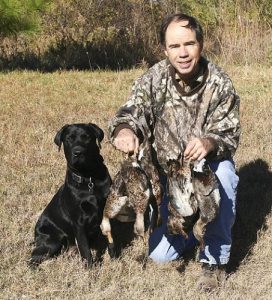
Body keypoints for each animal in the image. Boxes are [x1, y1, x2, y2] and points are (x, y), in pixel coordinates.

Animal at [29, 123, 111, 268]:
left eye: (87, 137)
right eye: (69, 139)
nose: (78, 152)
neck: (88, 178)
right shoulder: (79, 223)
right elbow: (85, 249)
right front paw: (90, 269)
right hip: (52, 241)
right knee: (33, 257)